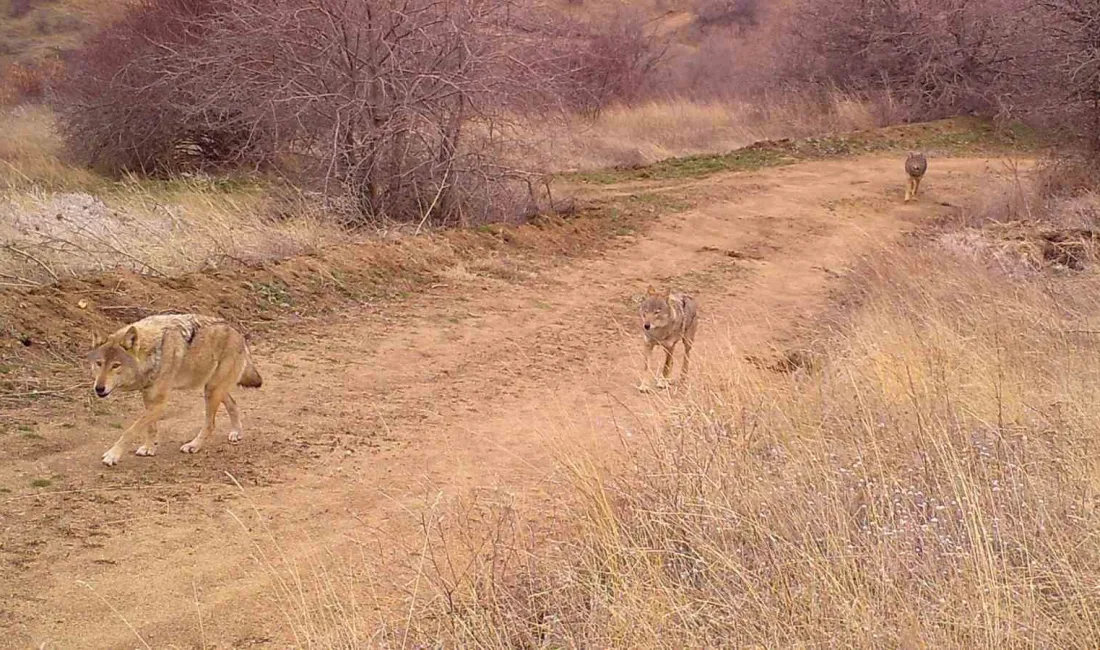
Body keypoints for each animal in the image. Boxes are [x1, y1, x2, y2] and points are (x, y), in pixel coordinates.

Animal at [85, 314, 261, 468]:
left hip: (212, 390)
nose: (99, 388)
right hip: (212, 388)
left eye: (115, 365)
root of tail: (239, 334)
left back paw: (193, 445)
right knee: (234, 404)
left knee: (210, 424)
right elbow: (150, 427)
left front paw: (112, 455)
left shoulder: (160, 404)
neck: (153, 353)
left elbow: (130, 430)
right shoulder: (149, 399)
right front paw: (149, 448)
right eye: (99, 363)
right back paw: (236, 432)